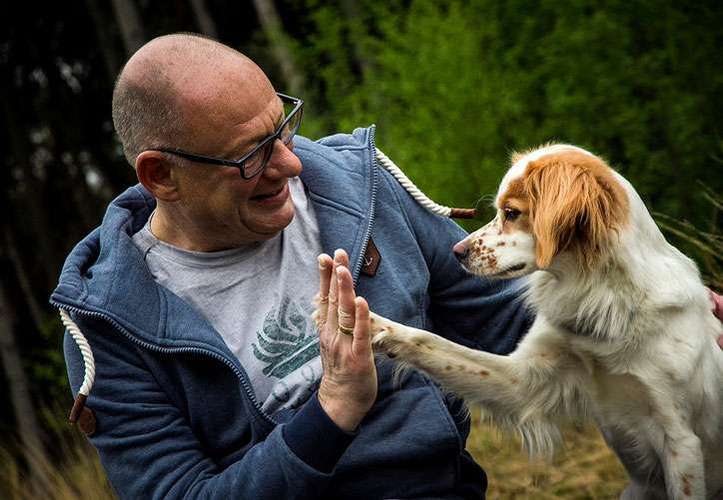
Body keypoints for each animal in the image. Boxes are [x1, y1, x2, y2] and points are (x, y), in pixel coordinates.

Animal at [370, 144, 723, 496]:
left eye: (512, 212)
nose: (456, 251)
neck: (602, 299)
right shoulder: (524, 380)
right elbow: (430, 341)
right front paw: (374, 323)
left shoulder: (680, 440)